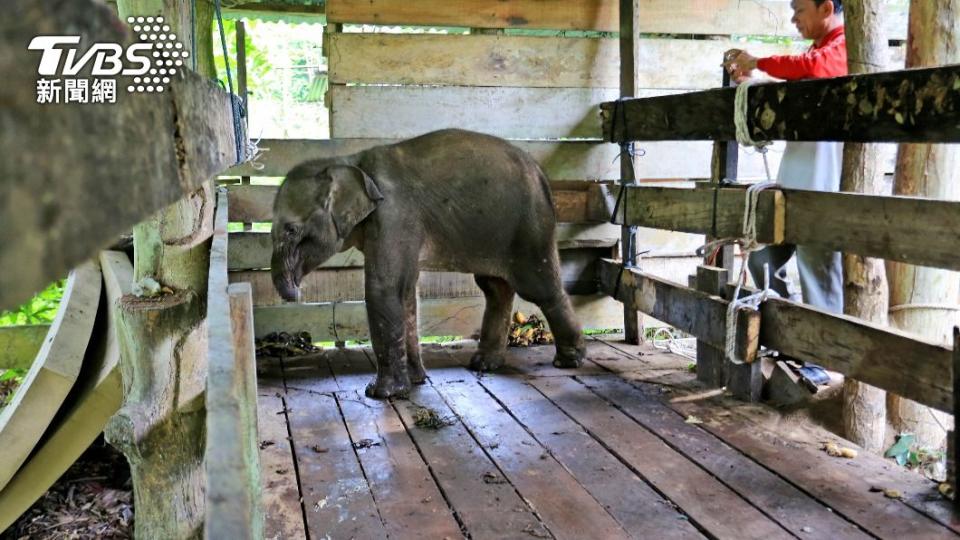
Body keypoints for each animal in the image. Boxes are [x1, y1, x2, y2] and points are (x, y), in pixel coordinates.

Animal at [270, 126, 584, 396]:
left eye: (291, 230)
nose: (297, 292)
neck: (350, 162)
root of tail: (542, 174)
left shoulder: (394, 215)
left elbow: (384, 288)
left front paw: (381, 393)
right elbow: (406, 291)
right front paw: (416, 380)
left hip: (530, 226)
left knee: (539, 288)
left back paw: (569, 360)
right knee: (495, 288)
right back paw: (483, 363)